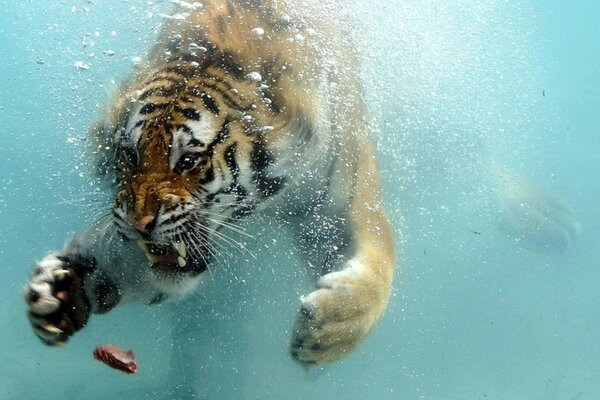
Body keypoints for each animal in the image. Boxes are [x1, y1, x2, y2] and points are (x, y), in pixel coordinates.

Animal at [24, 0, 398, 364]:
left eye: (188, 161)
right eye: (130, 155)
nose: (138, 223)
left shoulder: (336, 203)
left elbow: (380, 260)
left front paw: (329, 326)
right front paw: (61, 290)